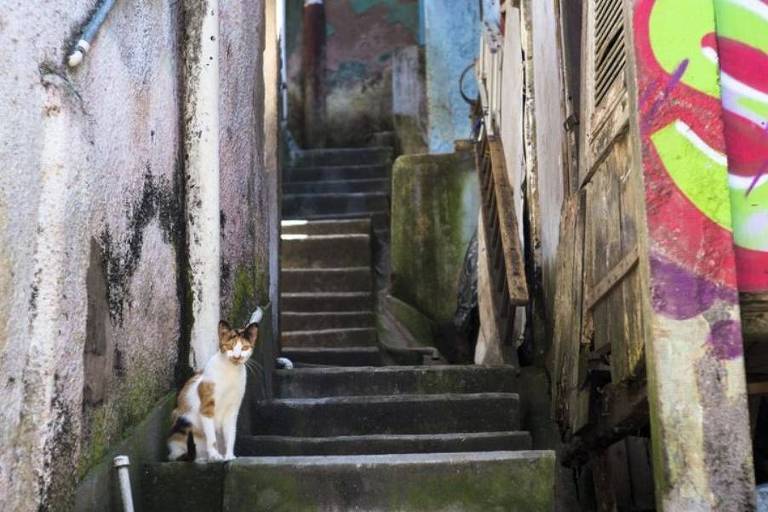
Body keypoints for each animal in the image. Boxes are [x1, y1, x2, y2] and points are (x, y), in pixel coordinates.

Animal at [166, 318, 260, 462]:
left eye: (244, 348)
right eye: (230, 347)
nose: (237, 357)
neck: (230, 372)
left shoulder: (232, 410)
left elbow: (231, 435)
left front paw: (229, 456)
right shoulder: (206, 407)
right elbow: (211, 436)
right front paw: (215, 456)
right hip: (183, 423)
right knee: (178, 454)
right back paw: (201, 459)